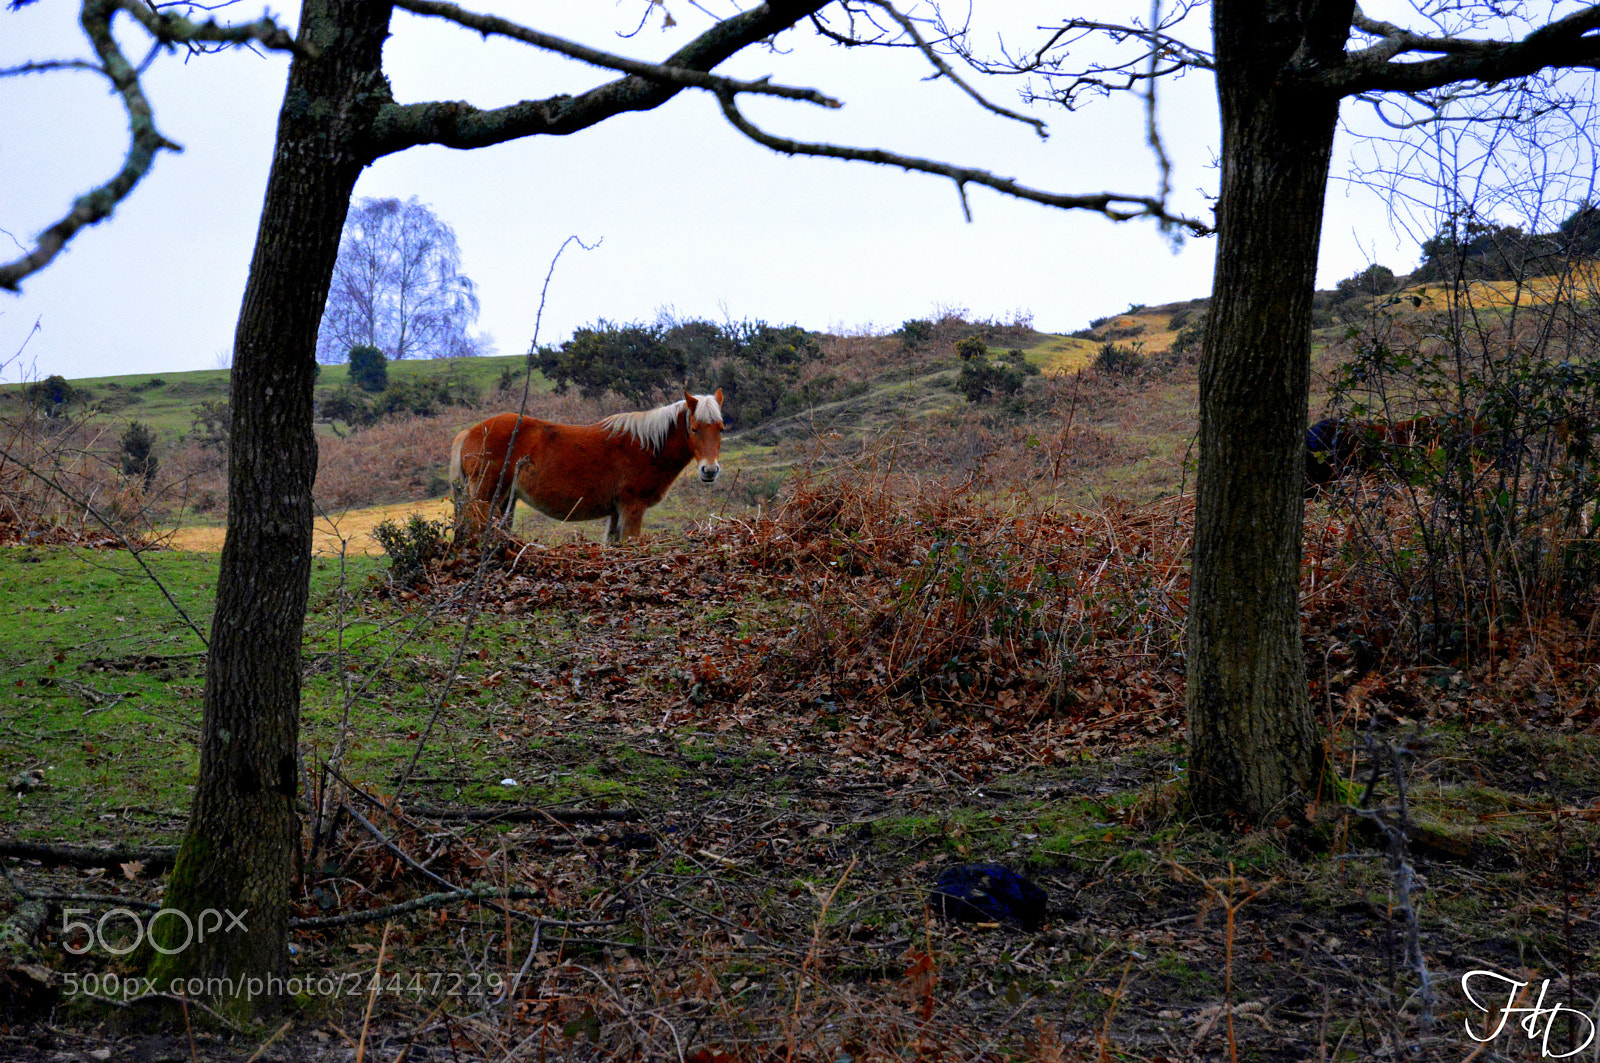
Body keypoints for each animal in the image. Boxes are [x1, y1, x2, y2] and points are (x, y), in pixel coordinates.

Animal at [450, 390, 724, 544]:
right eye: (694, 429)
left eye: (720, 429)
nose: (710, 471)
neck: (647, 445)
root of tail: (470, 432)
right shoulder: (633, 508)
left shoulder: (617, 511)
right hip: (485, 497)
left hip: (505, 500)